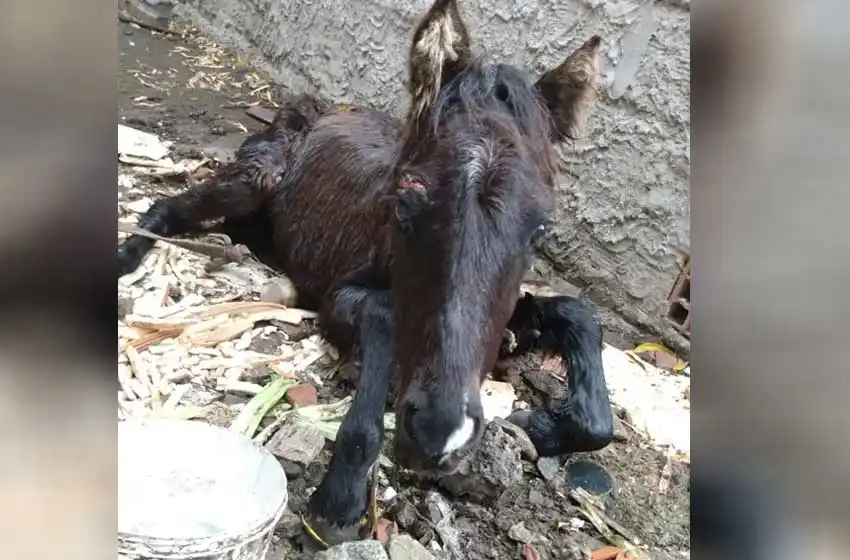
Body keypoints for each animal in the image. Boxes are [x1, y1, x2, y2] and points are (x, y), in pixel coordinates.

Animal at [117, 0, 613, 547]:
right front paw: (340, 500)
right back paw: (128, 259)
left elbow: (579, 322)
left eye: (541, 228)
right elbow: (381, 317)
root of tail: (322, 109)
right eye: (405, 203)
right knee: (168, 206)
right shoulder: (342, 298)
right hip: (254, 179)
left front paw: (541, 426)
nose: (442, 436)